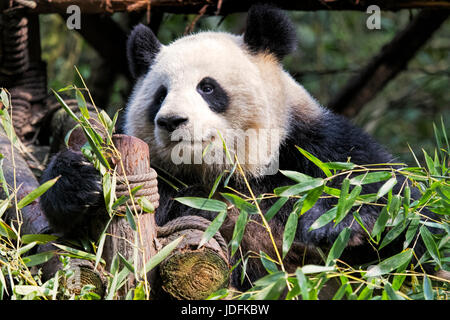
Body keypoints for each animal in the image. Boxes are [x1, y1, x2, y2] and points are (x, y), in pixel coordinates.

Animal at [40, 4, 444, 292]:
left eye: (207, 87)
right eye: (160, 95)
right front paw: (76, 181)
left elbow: (413, 222)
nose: (171, 121)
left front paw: (342, 223)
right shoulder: (171, 184)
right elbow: (74, 247)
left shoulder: (316, 150)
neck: (228, 176)